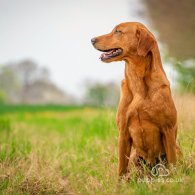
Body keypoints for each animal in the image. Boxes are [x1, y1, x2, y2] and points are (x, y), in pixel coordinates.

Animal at [91, 21, 180, 177]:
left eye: (118, 31)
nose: (92, 39)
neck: (138, 82)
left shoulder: (168, 130)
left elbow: (172, 163)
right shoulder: (123, 133)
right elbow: (121, 168)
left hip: (176, 148)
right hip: (135, 156)